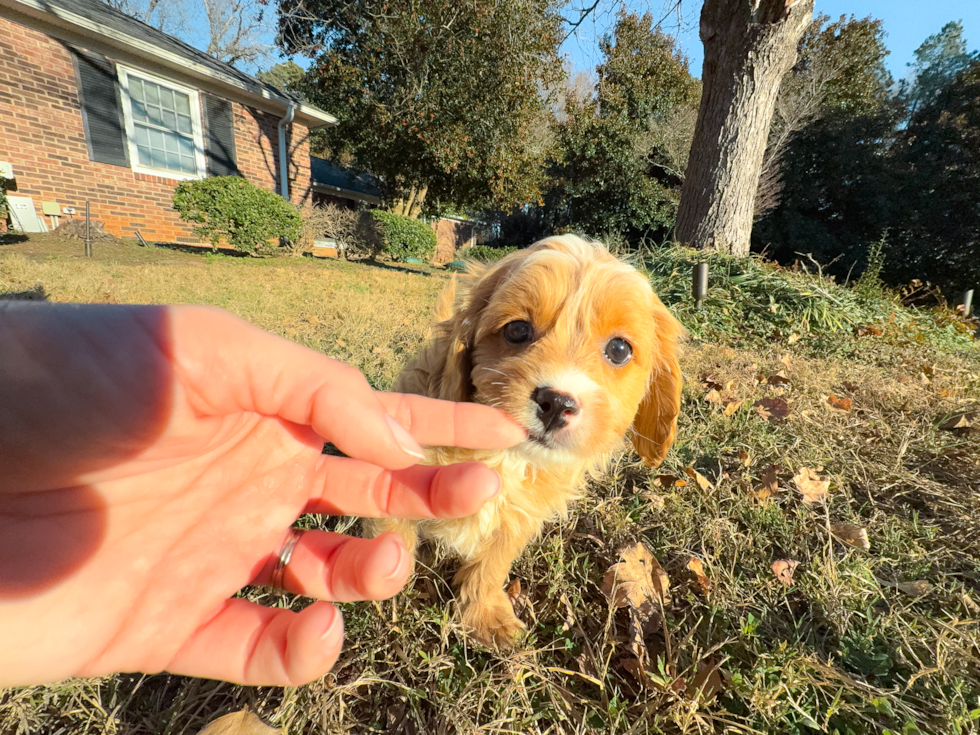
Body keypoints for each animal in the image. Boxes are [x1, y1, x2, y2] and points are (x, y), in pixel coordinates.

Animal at [372, 236, 684, 648]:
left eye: (619, 350)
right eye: (517, 330)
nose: (557, 402)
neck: (504, 455)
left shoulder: (519, 516)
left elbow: (492, 564)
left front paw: (484, 615)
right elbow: (393, 530)